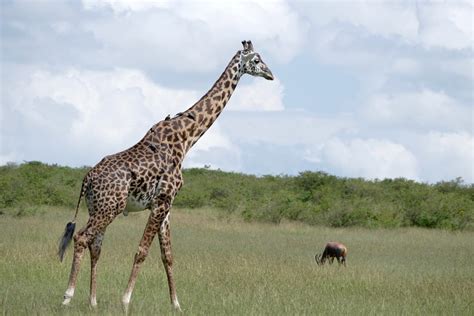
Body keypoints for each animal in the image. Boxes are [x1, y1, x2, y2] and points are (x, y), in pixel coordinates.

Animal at [58, 40, 274, 312]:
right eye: (256, 60)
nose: (270, 74)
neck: (186, 137)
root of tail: (87, 180)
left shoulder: (166, 204)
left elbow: (167, 256)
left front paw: (176, 305)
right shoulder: (162, 201)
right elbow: (142, 250)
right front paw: (125, 301)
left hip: (98, 208)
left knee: (95, 245)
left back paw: (93, 302)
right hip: (109, 208)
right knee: (81, 238)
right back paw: (67, 296)